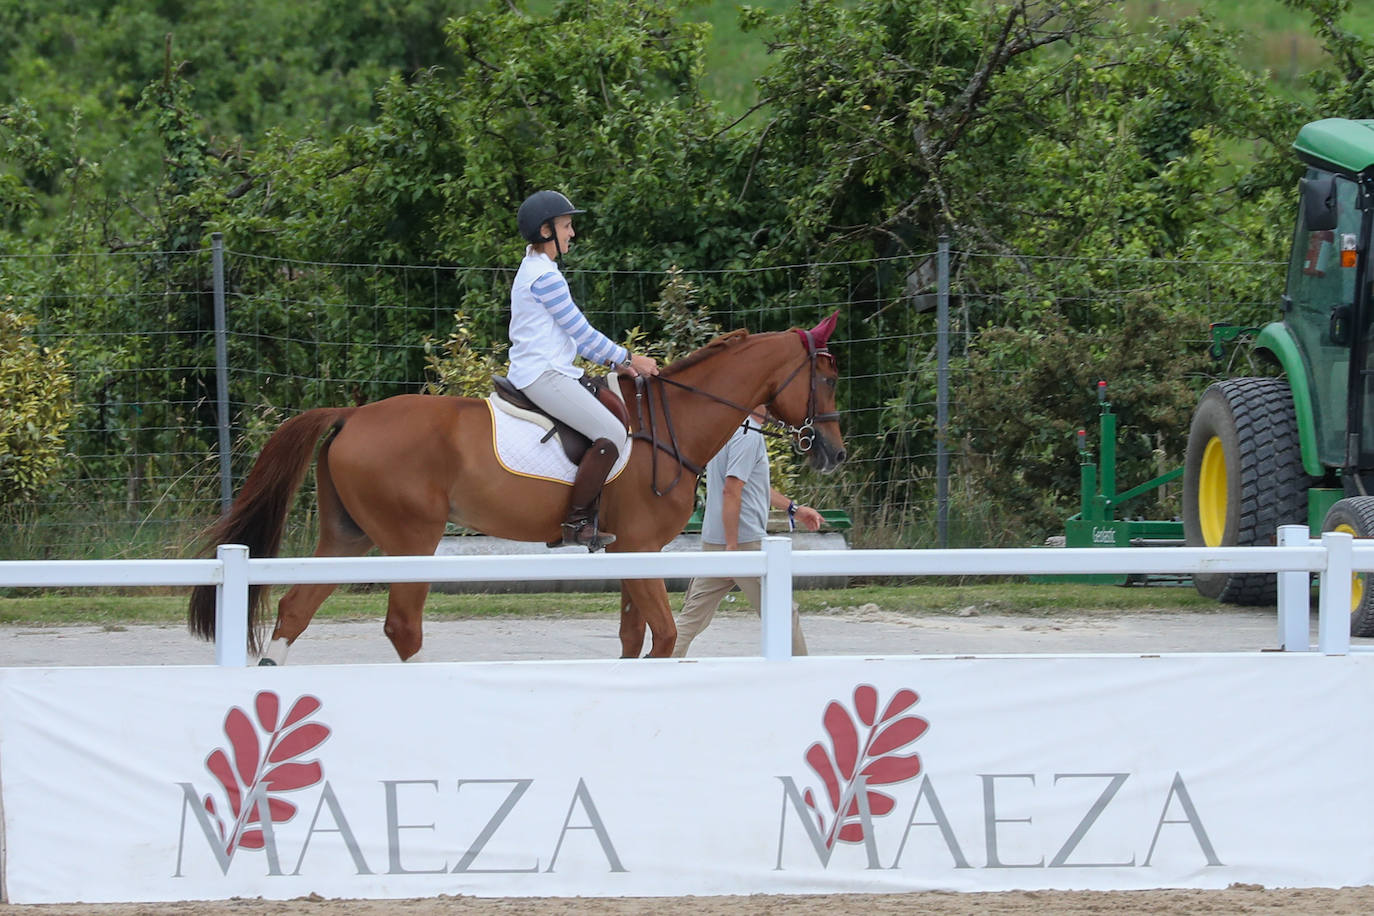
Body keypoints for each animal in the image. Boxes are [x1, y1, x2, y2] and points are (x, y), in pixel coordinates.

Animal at [188, 313, 840, 659]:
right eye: (825, 379)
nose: (833, 452)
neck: (670, 423)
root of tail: (351, 415)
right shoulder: (639, 547)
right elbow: (664, 634)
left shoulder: (630, 552)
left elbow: (635, 637)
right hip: (411, 540)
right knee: (402, 628)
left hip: (348, 539)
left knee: (295, 611)